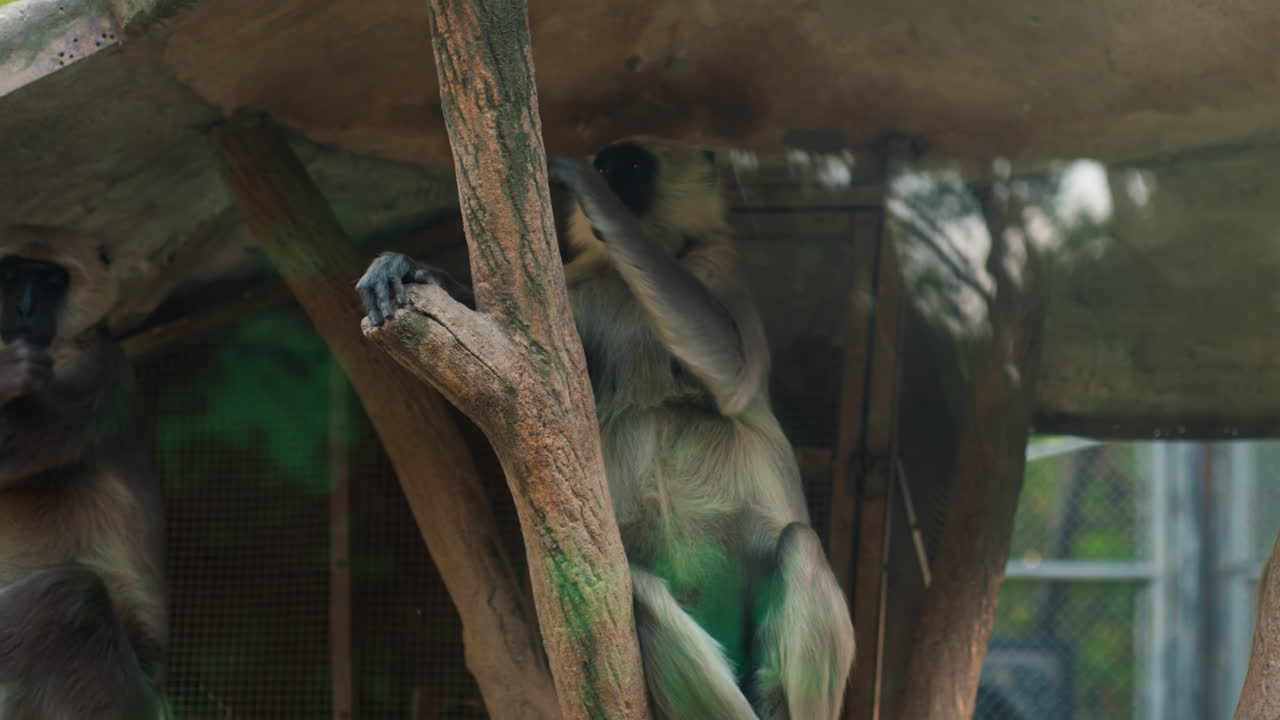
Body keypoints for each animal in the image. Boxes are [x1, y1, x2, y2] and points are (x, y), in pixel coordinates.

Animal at [0, 225, 168, 719]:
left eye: (53, 280)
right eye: (11, 273)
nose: (24, 308)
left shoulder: (97, 370)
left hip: (116, 694)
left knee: (70, 598)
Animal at [357, 137, 855, 719]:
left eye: (632, 167)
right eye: (612, 164)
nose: (608, 174)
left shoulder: (719, 262)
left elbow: (733, 375)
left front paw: (588, 192)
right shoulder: (583, 289)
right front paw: (415, 271)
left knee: (800, 543)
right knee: (640, 590)